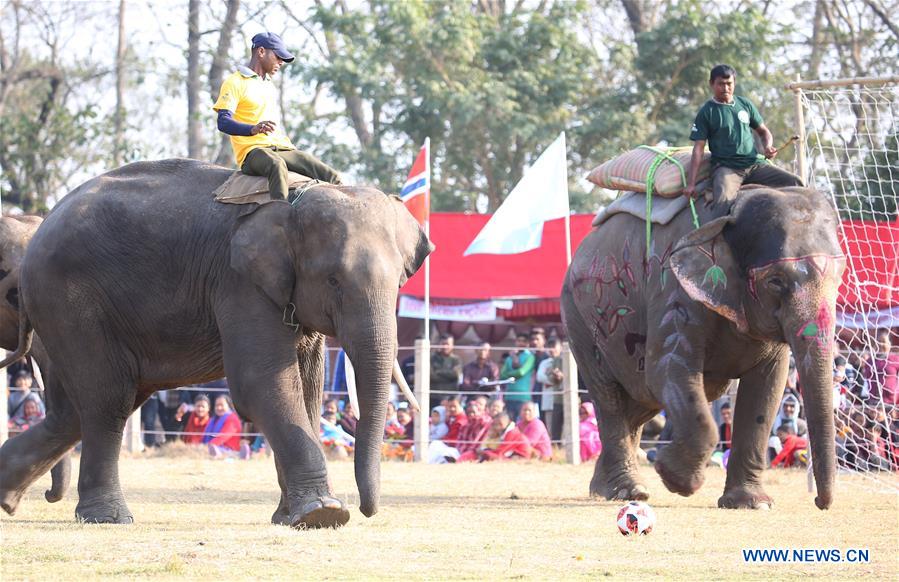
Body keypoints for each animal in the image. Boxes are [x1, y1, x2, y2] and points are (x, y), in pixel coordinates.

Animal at [0, 158, 432, 528]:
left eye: (399, 284)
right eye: (333, 280)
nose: (367, 510)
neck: (294, 201)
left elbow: (308, 391)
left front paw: (290, 517)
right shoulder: (239, 282)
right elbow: (264, 383)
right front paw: (323, 514)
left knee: (76, 409)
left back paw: (8, 500)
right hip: (70, 301)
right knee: (108, 400)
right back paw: (108, 518)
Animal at [561, 186, 844, 510]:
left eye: (840, 277)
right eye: (775, 281)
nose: (820, 503)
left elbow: (768, 386)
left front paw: (751, 503)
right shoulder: (673, 289)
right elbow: (667, 369)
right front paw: (673, 476)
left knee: (640, 401)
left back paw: (605, 486)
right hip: (579, 318)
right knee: (612, 397)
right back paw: (629, 490)